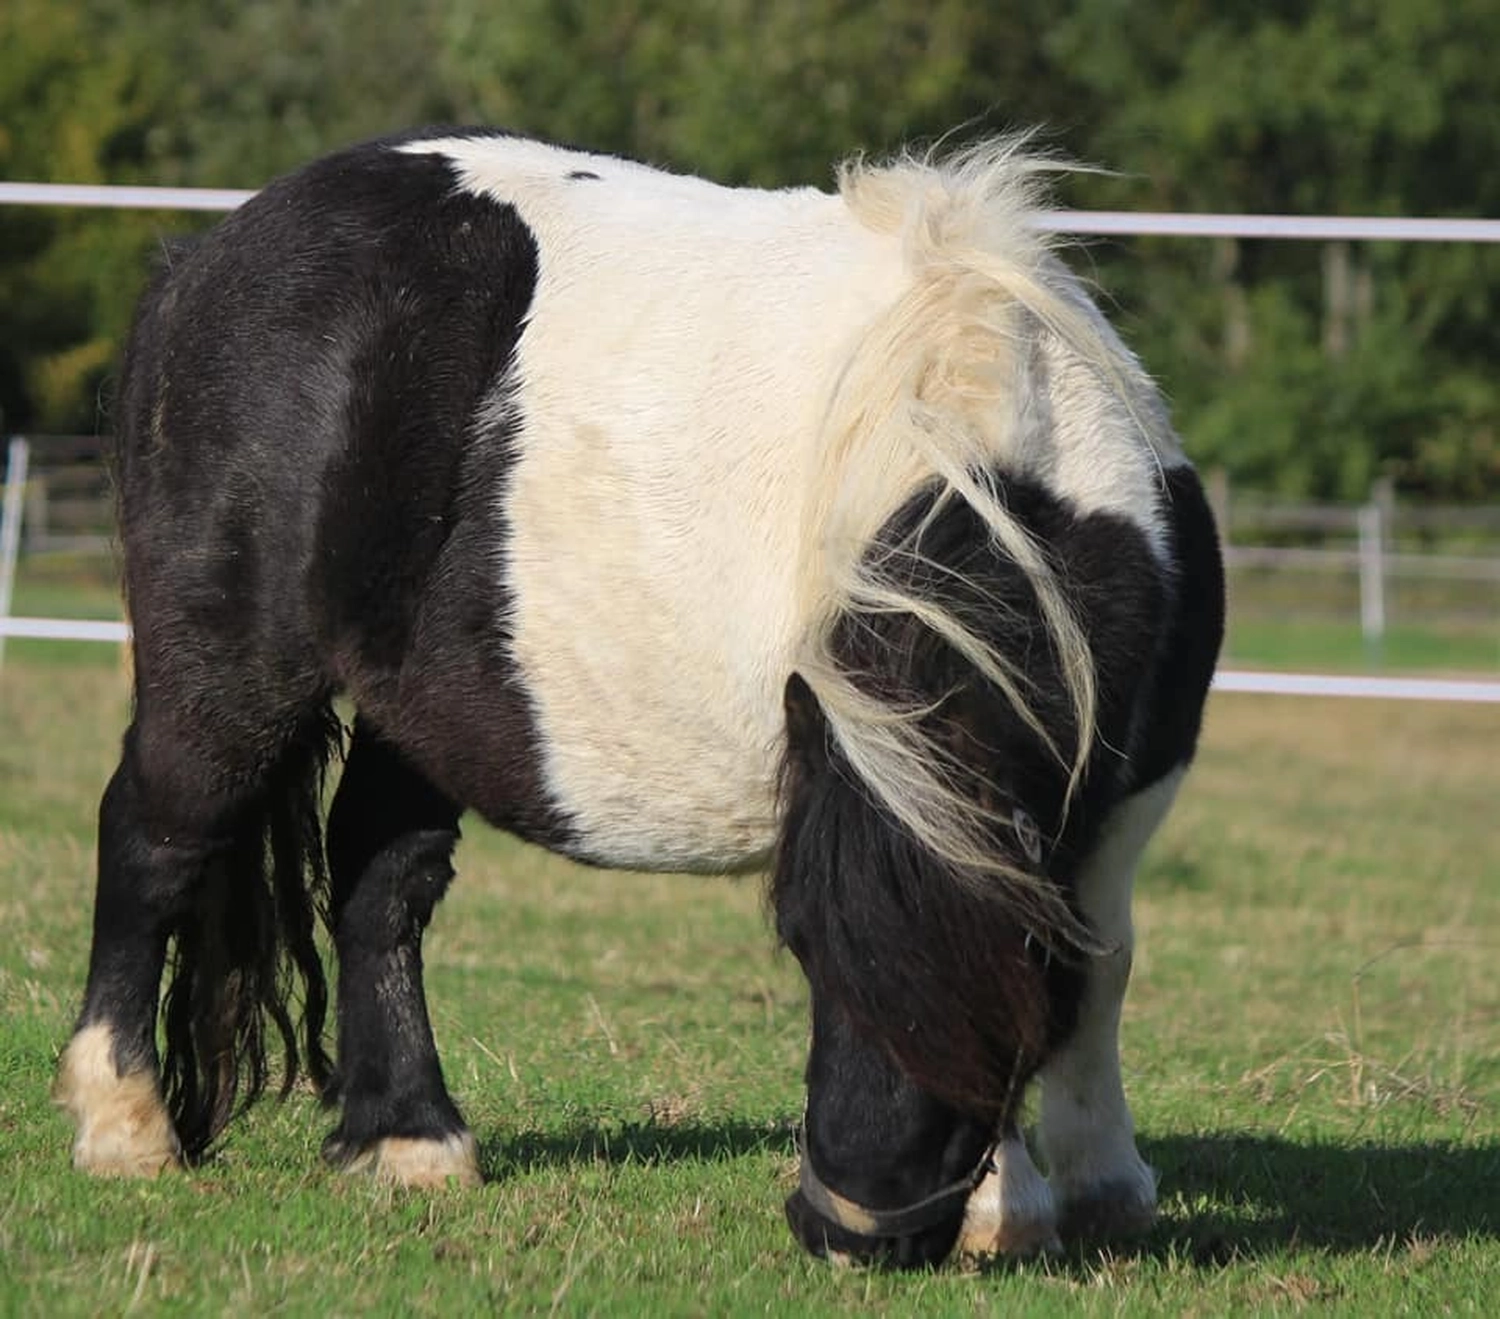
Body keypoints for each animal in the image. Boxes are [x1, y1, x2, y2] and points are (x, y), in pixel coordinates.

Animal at [52, 128, 1224, 1268]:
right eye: (801, 946)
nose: (851, 1232)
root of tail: (204, 262)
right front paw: (1020, 1201)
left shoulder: (1128, 793)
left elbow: (1097, 965)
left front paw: (1090, 1185)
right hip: (229, 674)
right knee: (154, 838)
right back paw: (125, 1126)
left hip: (414, 708)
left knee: (380, 875)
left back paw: (407, 1137)